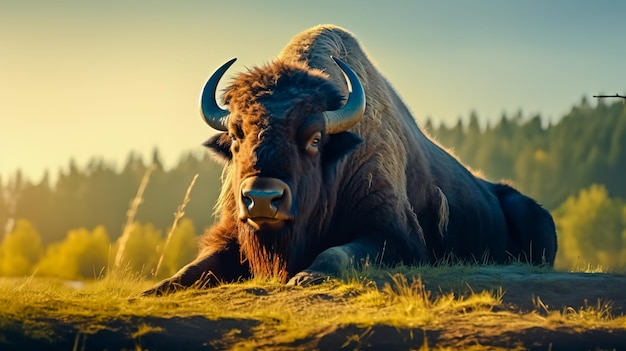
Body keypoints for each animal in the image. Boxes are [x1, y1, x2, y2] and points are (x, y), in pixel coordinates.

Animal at [146, 23, 556, 296]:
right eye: (235, 135)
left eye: (315, 138)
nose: (262, 199)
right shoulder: (232, 234)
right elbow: (193, 269)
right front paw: (155, 289)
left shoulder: (394, 236)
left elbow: (337, 253)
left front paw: (307, 277)